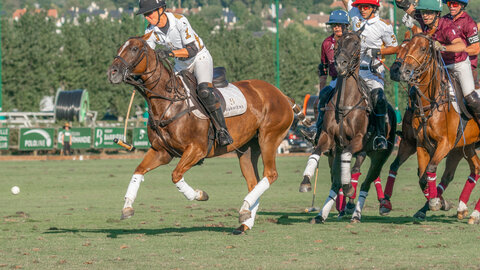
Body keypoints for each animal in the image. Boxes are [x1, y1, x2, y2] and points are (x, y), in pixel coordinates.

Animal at [108, 31, 300, 234]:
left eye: (134, 48)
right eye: (120, 47)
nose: (112, 72)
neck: (170, 102)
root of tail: (282, 95)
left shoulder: (197, 149)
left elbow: (176, 175)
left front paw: (199, 195)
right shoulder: (162, 152)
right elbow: (139, 171)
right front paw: (127, 208)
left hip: (269, 138)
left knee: (270, 174)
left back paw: (244, 211)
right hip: (247, 148)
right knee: (253, 182)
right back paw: (245, 220)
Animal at [304, 30, 398, 224]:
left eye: (356, 43)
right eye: (338, 43)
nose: (341, 63)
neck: (345, 103)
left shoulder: (358, 140)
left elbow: (348, 160)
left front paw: (349, 190)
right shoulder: (328, 139)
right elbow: (315, 154)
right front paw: (306, 182)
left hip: (379, 155)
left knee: (366, 182)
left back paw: (356, 213)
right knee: (337, 181)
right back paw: (322, 214)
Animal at [392, 33, 480, 216]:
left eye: (423, 48)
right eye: (405, 47)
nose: (402, 71)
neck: (430, 104)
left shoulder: (445, 143)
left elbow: (430, 170)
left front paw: (435, 202)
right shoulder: (420, 144)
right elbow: (422, 176)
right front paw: (439, 202)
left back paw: (473, 212)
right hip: (467, 146)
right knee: (475, 168)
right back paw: (469, 212)